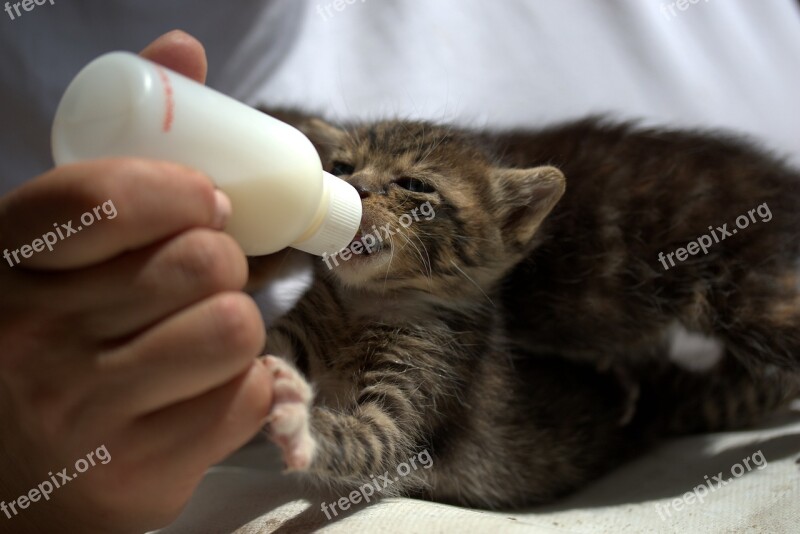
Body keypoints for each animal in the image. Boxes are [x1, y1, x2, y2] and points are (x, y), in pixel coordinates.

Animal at [250, 113, 800, 510]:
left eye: (415, 185)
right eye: (341, 168)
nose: (355, 188)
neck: (366, 303)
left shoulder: (418, 390)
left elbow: (368, 439)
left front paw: (299, 423)